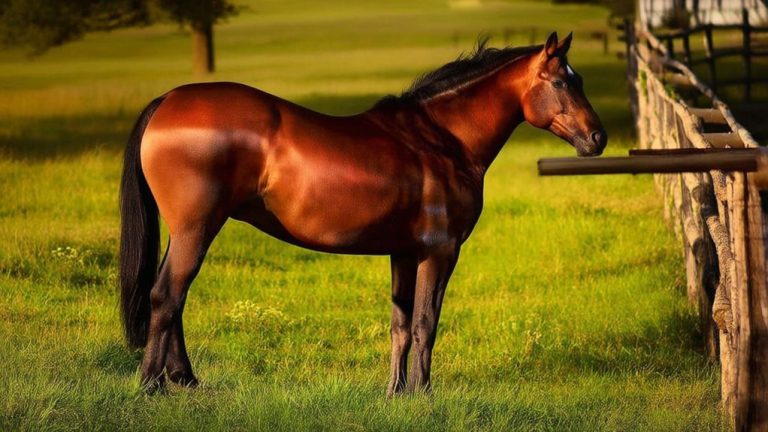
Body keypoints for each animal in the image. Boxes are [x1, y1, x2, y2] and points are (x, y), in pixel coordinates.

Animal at [119, 32, 606, 394]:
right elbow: (426, 324)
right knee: (166, 295)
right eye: (562, 83)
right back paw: (151, 385)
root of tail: (167, 100)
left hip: (188, 232)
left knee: (174, 297)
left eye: (579, 79)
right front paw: (424, 395)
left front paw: (395, 393)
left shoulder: (405, 253)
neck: (441, 139)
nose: (597, 138)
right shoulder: (440, 252)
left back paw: (185, 379)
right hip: (196, 229)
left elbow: (400, 325)